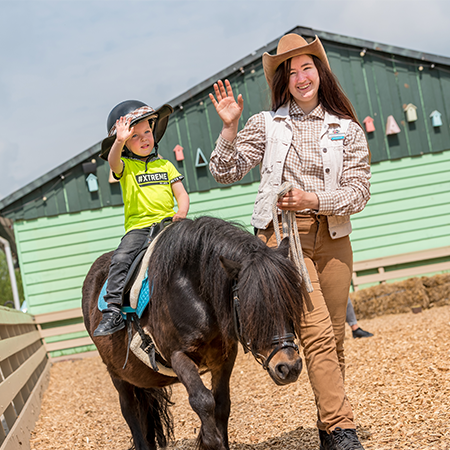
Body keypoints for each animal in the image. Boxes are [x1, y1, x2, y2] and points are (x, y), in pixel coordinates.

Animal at [81, 216, 306, 448]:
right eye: (252, 308)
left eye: (291, 302)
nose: (289, 366)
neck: (194, 294)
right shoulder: (178, 357)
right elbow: (203, 401)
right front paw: (211, 441)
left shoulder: (224, 358)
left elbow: (221, 403)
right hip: (118, 376)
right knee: (130, 413)